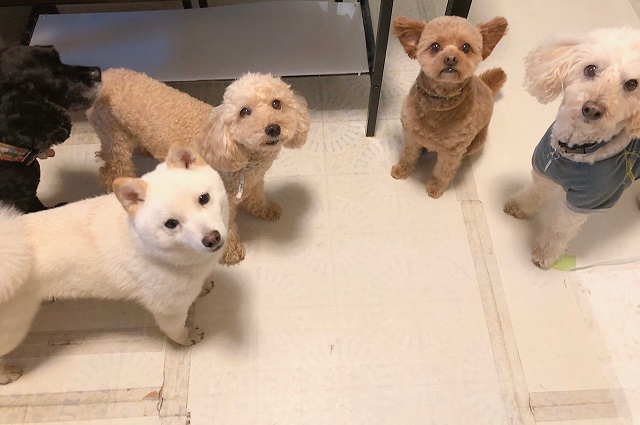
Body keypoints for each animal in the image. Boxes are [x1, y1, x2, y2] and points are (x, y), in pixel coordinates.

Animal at [0, 145, 228, 384]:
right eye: (171, 224)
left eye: (204, 198)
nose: (212, 238)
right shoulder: (168, 310)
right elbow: (176, 331)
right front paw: (188, 336)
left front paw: (203, 285)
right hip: (13, 328)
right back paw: (6, 374)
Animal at [88, 69, 310, 265]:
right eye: (244, 112)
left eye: (277, 104)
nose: (273, 128)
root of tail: (105, 74)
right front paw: (230, 251)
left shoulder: (255, 182)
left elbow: (257, 197)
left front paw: (265, 209)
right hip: (115, 138)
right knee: (112, 168)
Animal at [390, 15, 508, 198]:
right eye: (435, 46)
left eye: (466, 47)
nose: (451, 59)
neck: (439, 103)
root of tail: (486, 85)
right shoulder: (410, 135)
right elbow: (408, 155)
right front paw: (402, 170)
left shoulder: (452, 152)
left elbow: (443, 171)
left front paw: (436, 187)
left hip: (476, 143)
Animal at [504, 28, 640, 269]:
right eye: (590, 69)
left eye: (632, 84)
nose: (592, 109)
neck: (572, 153)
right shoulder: (545, 172)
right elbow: (534, 194)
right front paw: (519, 207)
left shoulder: (585, 202)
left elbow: (559, 230)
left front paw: (545, 253)